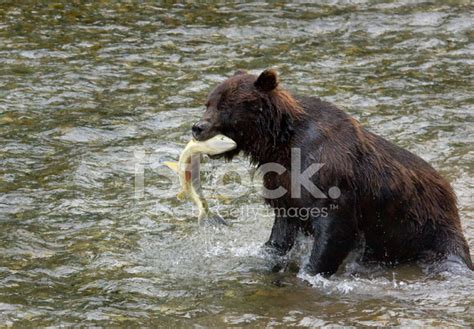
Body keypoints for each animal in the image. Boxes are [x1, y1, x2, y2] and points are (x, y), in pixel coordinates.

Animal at [191, 68, 472, 274]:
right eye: (208, 102)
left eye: (225, 106)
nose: (197, 127)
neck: (280, 144)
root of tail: (449, 192)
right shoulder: (283, 183)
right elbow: (282, 230)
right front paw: (266, 255)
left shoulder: (327, 174)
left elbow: (334, 227)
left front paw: (311, 270)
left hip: (428, 226)